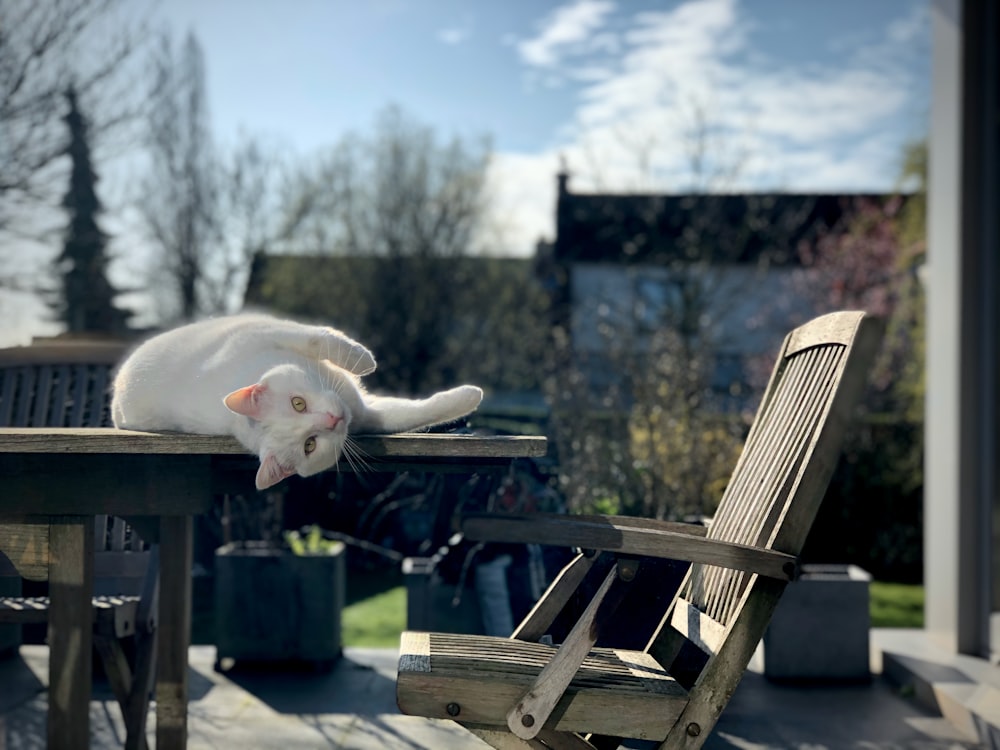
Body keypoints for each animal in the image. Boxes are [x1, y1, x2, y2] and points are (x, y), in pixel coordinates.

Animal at [111, 314, 482, 490]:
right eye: (310, 444)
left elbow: (318, 337)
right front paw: (469, 397)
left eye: (297, 403)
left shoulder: (264, 330)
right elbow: (410, 415)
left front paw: (362, 359)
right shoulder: (368, 416)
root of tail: (116, 392)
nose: (334, 420)